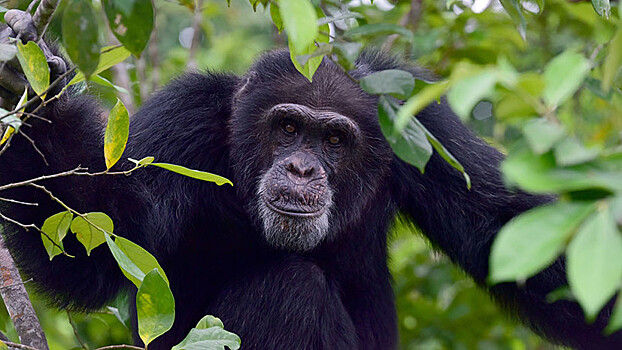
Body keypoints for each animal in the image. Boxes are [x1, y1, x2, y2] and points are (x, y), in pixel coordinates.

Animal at [0, 8, 620, 350]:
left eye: (334, 140)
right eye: (289, 127)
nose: (301, 167)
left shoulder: (423, 122)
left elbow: (509, 231)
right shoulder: (183, 119)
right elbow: (101, 233)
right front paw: (30, 84)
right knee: (289, 287)